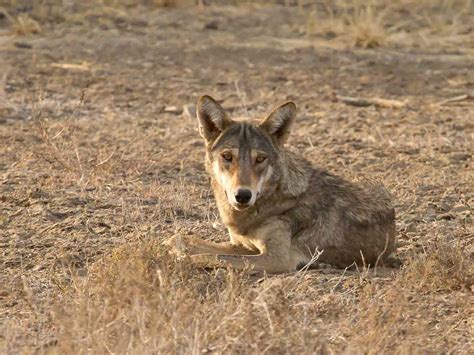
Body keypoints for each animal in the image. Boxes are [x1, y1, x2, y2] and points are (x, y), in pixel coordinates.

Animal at [170, 96, 396, 274]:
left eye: (260, 159)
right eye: (227, 157)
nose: (242, 195)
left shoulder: (277, 259)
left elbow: (208, 257)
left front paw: (182, 259)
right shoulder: (243, 246)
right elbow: (184, 239)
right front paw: (174, 245)